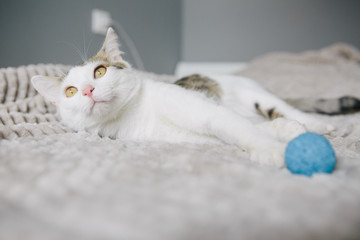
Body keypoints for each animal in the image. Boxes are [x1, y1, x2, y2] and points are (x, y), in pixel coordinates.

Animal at [31, 27, 334, 167]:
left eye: (100, 71)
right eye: (70, 91)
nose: (87, 90)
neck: (136, 112)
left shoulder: (204, 111)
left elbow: (240, 128)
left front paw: (272, 150)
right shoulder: (188, 136)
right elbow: (237, 130)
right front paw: (279, 138)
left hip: (254, 94)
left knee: (283, 109)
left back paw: (318, 124)